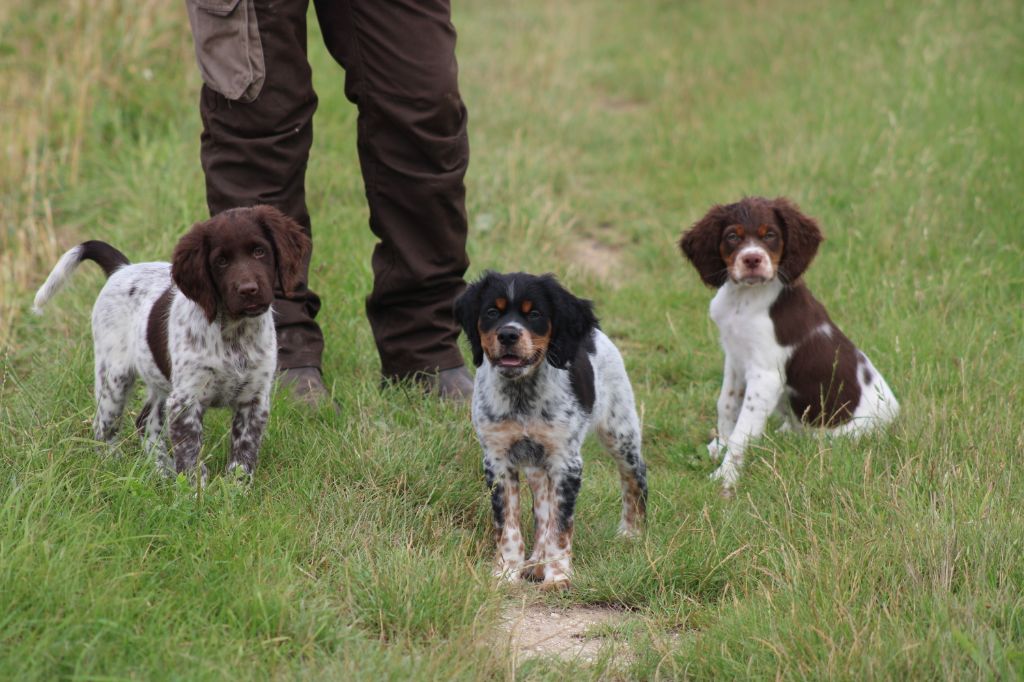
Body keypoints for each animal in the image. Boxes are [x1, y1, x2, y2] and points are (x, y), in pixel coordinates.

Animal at [34, 204, 309, 481]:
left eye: (259, 251)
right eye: (221, 261)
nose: (248, 289)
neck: (234, 332)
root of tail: (122, 268)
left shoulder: (253, 398)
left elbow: (244, 449)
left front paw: (237, 485)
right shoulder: (186, 399)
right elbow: (189, 451)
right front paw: (195, 487)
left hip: (160, 383)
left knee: (145, 422)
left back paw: (161, 468)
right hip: (114, 377)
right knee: (104, 427)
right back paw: (113, 464)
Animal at [456, 270, 647, 589]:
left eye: (534, 314)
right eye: (492, 312)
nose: (508, 335)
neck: (522, 394)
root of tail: (593, 332)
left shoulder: (566, 461)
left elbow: (560, 528)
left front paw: (558, 577)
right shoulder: (497, 460)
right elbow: (509, 525)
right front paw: (507, 571)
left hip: (620, 431)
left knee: (635, 477)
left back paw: (633, 534)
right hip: (536, 466)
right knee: (543, 510)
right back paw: (535, 562)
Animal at [679, 196, 897, 489]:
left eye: (770, 235)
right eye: (732, 237)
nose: (752, 259)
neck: (744, 298)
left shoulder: (765, 375)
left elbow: (743, 431)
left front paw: (726, 477)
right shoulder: (735, 358)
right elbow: (726, 403)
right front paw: (718, 447)